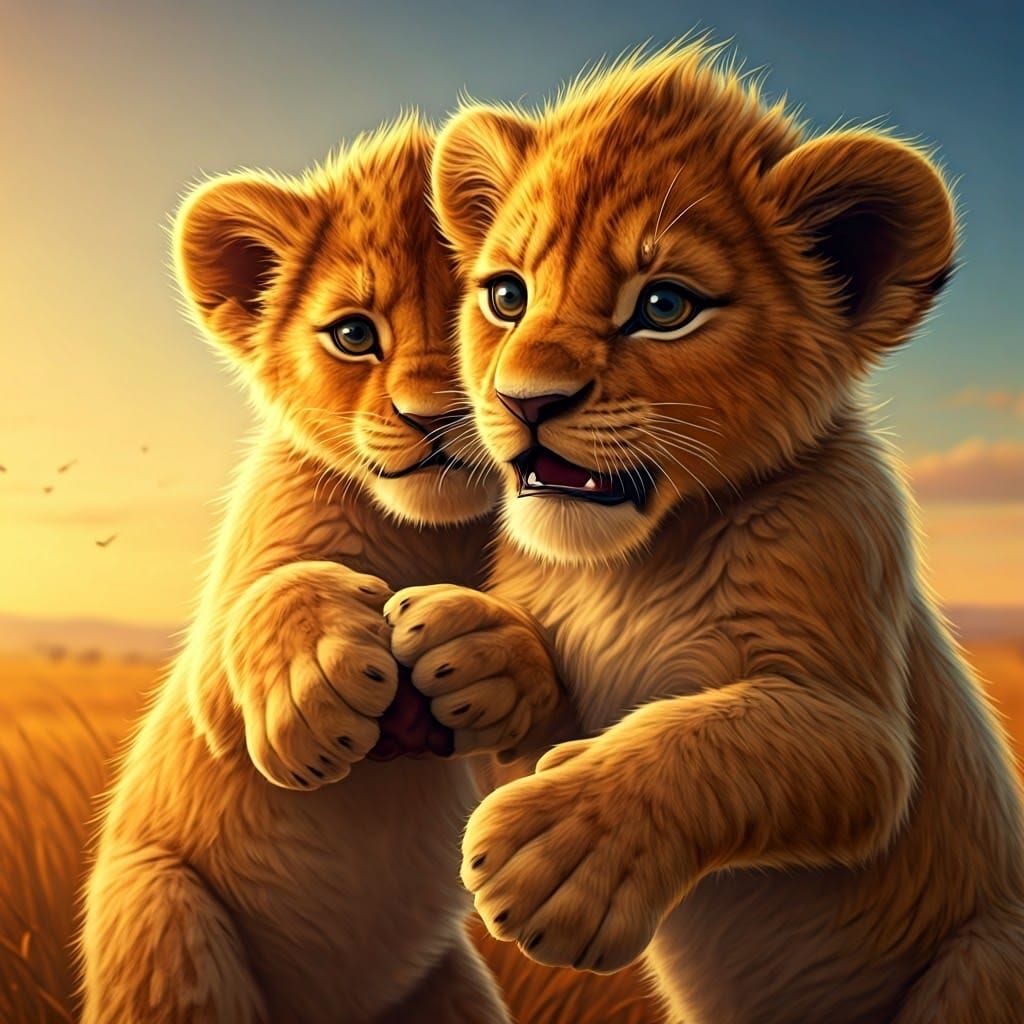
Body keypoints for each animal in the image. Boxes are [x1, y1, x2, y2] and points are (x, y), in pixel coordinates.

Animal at [79, 117, 564, 1024]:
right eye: (353, 334)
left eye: (499, 305)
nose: (434, 418)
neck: (429, 535)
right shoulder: (212, 676)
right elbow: (264, 610)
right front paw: (317, 678)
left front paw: (486, 656)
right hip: (164, 917)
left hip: (448, 984)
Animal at [387, 44, 1024, 1023]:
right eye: (505, 295)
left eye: (663, 306)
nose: (524, 402)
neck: (626, 565)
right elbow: (550, 683)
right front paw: (467, 644)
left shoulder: (860, 721)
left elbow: (710, 735)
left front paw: (558, 852)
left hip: (986, 957)